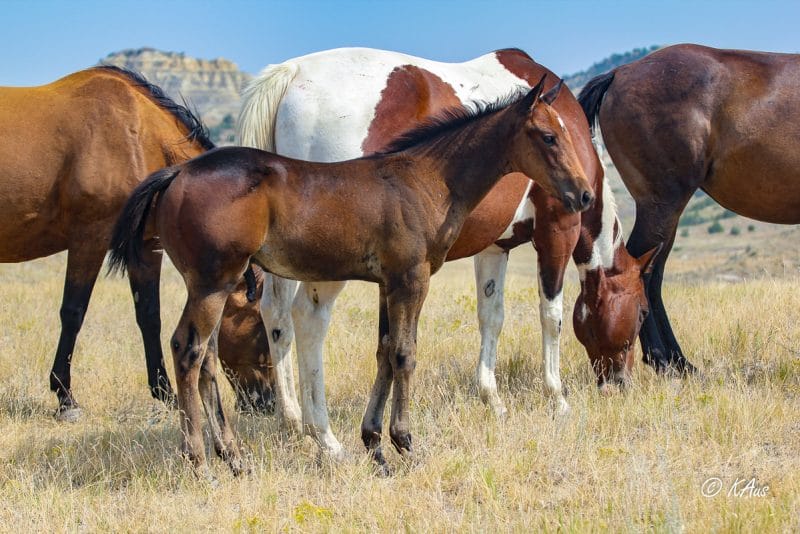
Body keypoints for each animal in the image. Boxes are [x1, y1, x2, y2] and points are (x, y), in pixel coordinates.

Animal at [0, 66, 214, 418]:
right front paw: (65, 397)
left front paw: (165, 392)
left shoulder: (146, 246)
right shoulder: (90, 237)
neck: (138, 136)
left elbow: (149, 314)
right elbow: (73, 312)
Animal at [219, 46, 656, 458]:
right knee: (309, 320)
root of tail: (290, 74)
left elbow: (491, 317)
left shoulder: (494, 247)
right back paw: (323, 435)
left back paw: (294, 421)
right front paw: (557, 397)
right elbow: (552, 316)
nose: (622, 383)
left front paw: (492, 399)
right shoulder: (557, 231)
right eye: (641, 314)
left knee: (277, 319)